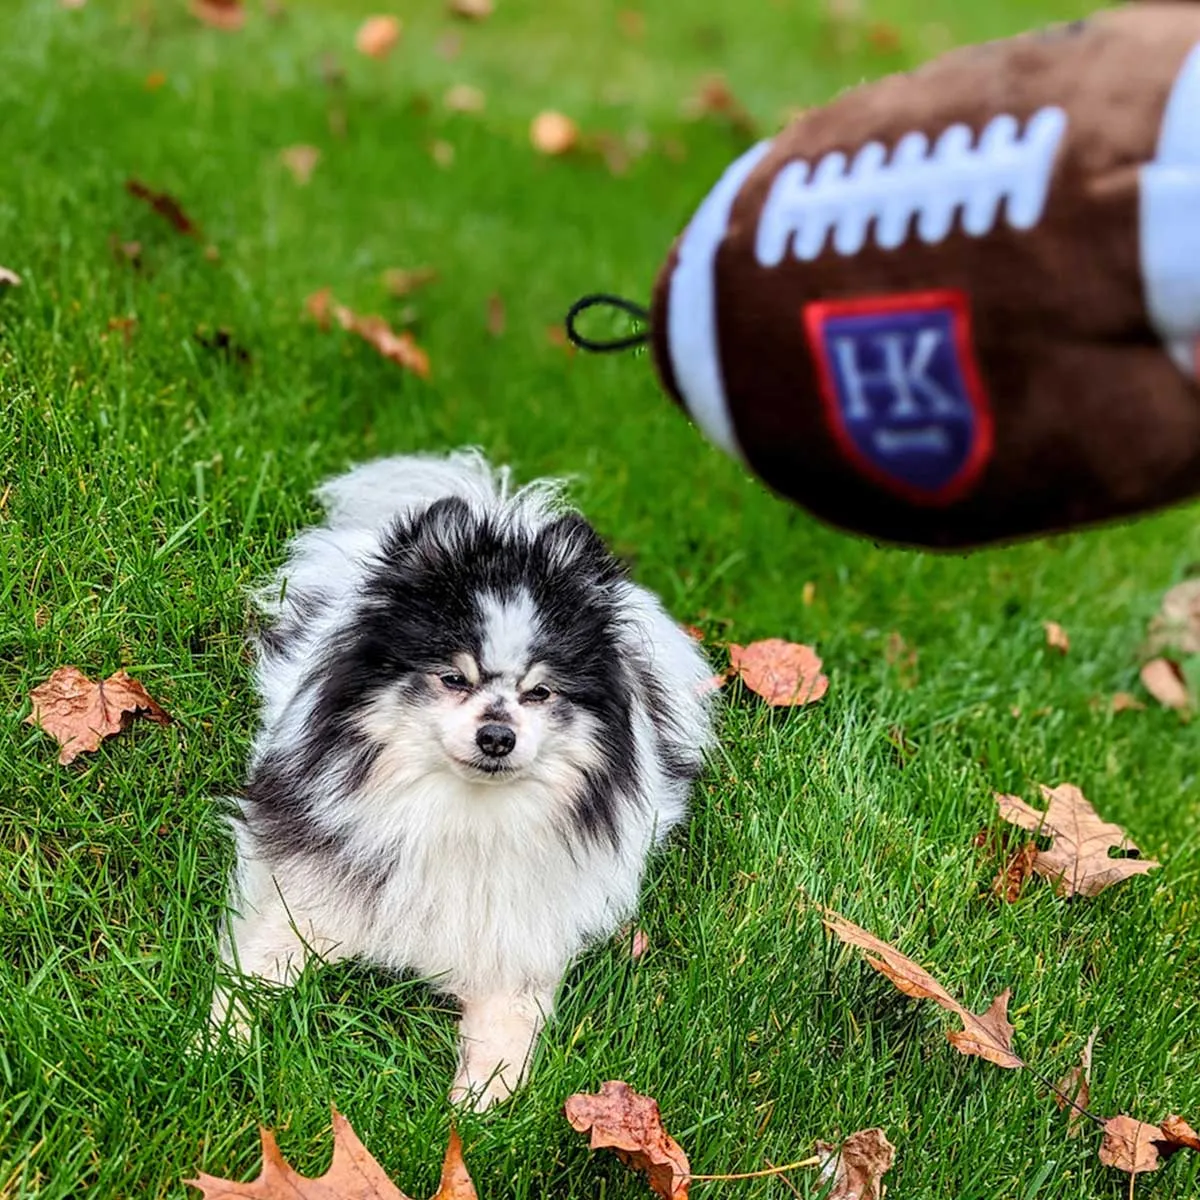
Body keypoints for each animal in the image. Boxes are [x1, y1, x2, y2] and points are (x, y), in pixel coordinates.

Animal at [208, 453, 710, 1108]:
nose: (497, 736)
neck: (461, 812)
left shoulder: (517, 946)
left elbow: (502, 1044)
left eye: (539, 692)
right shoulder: (305, 889)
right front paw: (213, 1053)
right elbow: (253, 971)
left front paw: (472, 1115)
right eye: (453, 678)